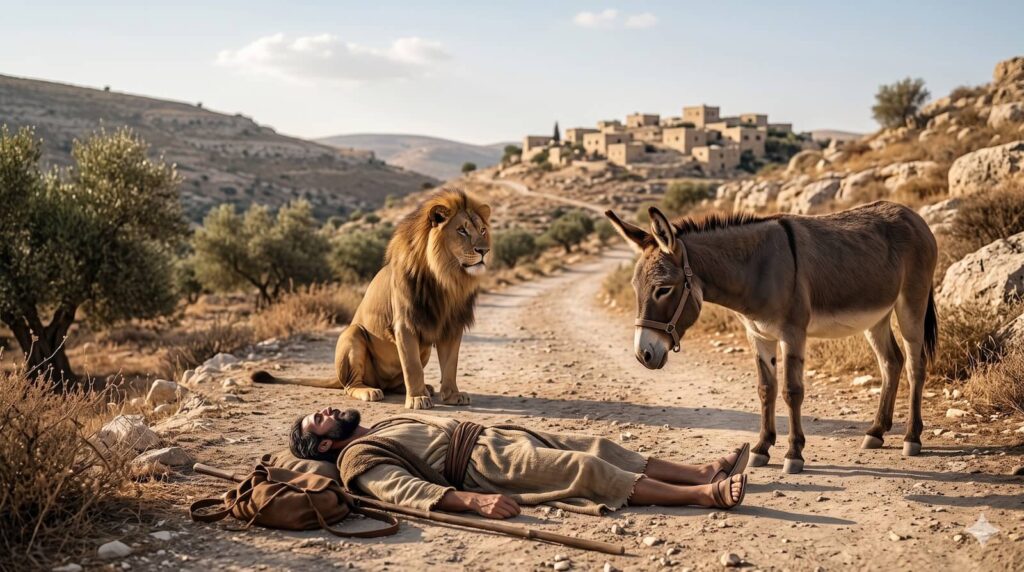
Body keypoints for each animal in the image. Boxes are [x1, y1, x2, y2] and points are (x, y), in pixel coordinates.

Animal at [253, 188, 491, 410]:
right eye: (461, 230)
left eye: (482, 230)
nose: (484, 251)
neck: (446, 279)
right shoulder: (405, 325)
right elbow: (412, 367)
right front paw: (416, 398)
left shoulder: (452, 325)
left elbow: (450, 365)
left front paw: (452, 396)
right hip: (353, 333)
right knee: (351, 385)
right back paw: (372, 391)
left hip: (423, 349)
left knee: (396, 382)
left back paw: (424, 388)